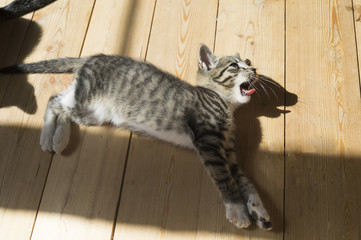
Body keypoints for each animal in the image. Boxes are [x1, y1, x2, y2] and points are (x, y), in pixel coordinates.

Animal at [0, 44, 272, 230]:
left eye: (248, 61)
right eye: (235, 66)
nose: (254, 68)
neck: (225, 104)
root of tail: (92, 57)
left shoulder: (228, 151)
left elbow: (244, 180)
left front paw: (258, 209)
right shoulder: (209, 144)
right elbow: (225, 178)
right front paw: (238, 209)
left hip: (94, 113)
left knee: (62, 103)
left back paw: (59, 138)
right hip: (86, 100)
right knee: (54, 99)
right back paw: (50, 138)